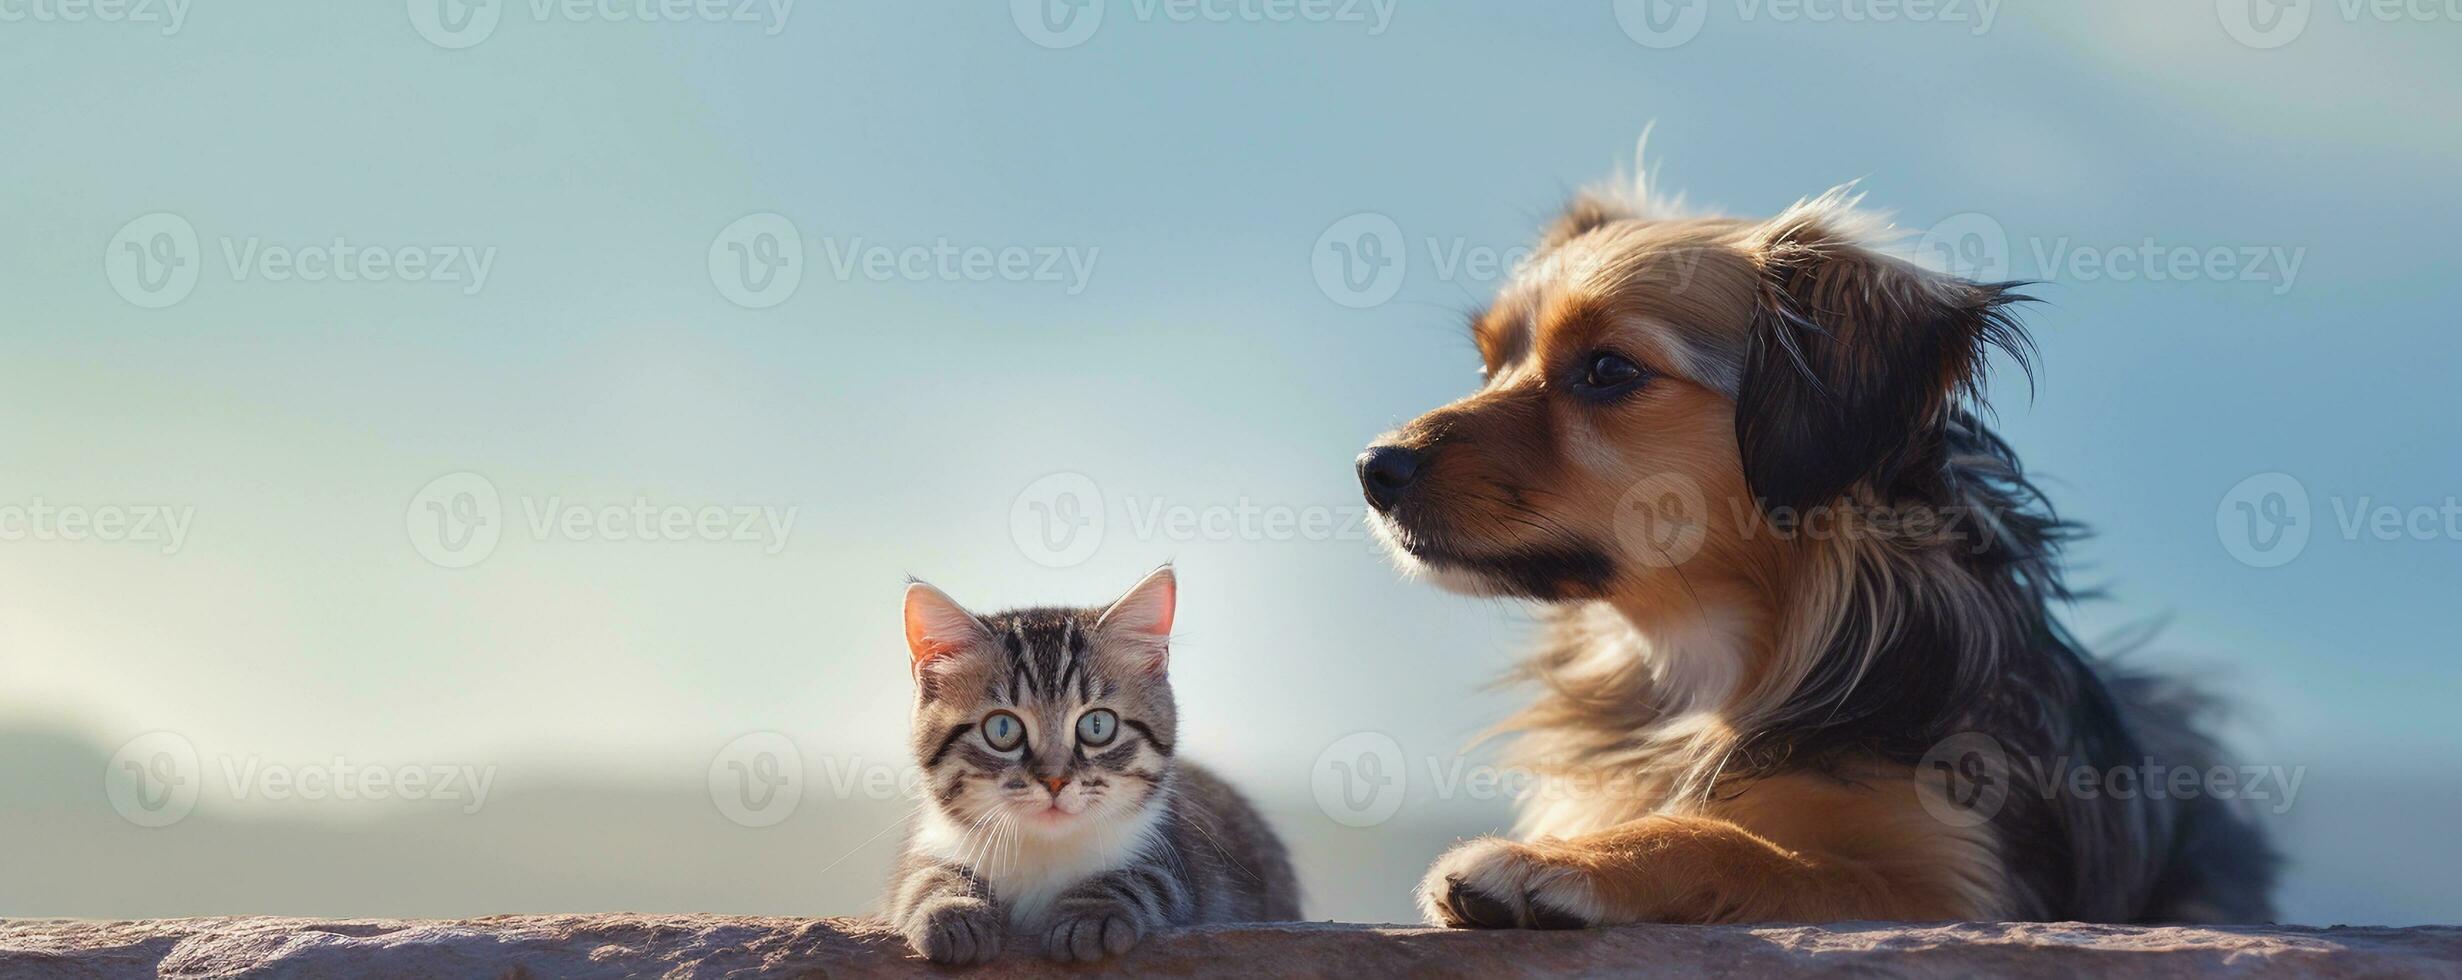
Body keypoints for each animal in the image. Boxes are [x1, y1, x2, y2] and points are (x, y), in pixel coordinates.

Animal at [891, 566, 1309, 965]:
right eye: (1003, 729)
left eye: (1097, 726)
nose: (1054, 780)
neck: (1045, 849)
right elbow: (921, 878)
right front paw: (950, 909)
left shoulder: (1179, 864)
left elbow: (1146, 879)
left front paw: (1090, 913)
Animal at [1359, 169, 2274, 925]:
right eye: (1490, 366)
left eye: (1609, 371)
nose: (1374, 468)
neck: (1710, 668)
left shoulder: (1959, 885)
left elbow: (1737, 845)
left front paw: (1554, 866)